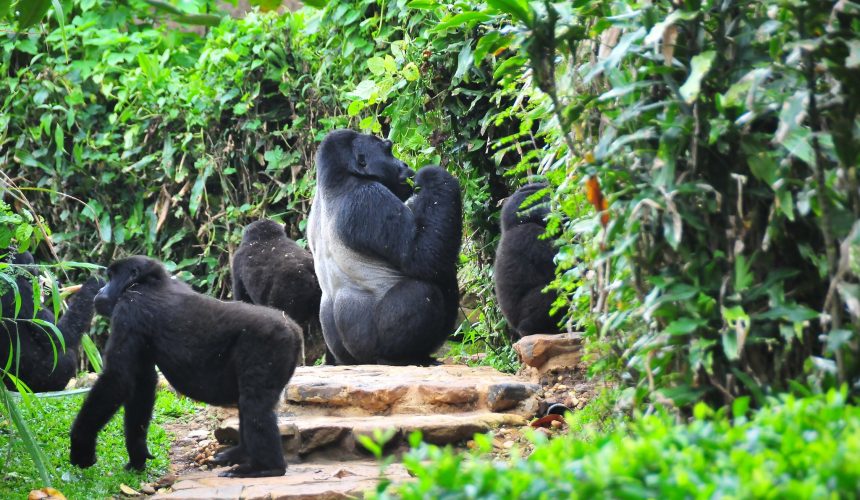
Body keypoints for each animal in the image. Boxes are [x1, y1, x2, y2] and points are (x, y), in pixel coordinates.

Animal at [1, 252, 102, 392]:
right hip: (37, 384)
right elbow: (61, 335)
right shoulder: (23, 292)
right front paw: (94, 283)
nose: (38, 277)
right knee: (67, 356)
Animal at [69, 256, 302, 478]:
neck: (149, 281)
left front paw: (81, 444)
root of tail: (293, 328)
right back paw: (240, 454)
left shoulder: (130, 308)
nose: (100, 291)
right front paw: (138, 455)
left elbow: (117, 379)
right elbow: (141, 385)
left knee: (255, 404)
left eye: (110, 278)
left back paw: (266, 468)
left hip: (270, 342)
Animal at [310, 129, 464, 366]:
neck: (336, 179)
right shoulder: (368, 198)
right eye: (388, 151)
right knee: (423, 290)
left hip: (343, 355)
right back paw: (405, 357)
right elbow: (422, 257)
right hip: (371, 350)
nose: (403, 163)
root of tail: (359, 362)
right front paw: (433, 176)